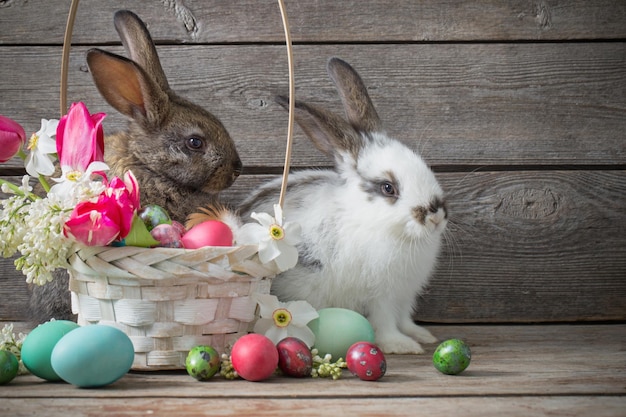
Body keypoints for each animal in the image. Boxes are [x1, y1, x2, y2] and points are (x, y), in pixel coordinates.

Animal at [236, 57, 446, 352]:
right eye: (388, 188)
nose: (436, 216)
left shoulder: (405, 295)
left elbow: (404, 319)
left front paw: (421, 335)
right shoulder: (381, 295)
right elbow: (385, 324)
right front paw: (402, 345)